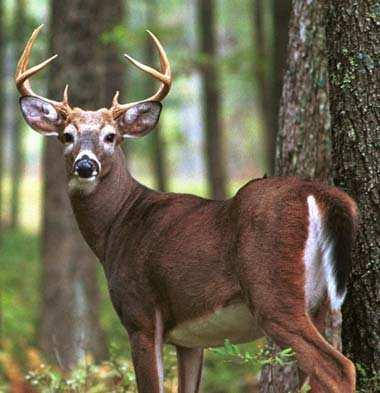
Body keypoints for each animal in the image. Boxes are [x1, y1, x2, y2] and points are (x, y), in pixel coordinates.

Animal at [15, 25, 360, 392]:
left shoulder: (140, 313)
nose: (85, 165)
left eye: (111, 136)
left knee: (337, 367)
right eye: (67, 136)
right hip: (321, 303)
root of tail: (321, 194)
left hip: (274, 292)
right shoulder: (189, 340)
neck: (117, 227)